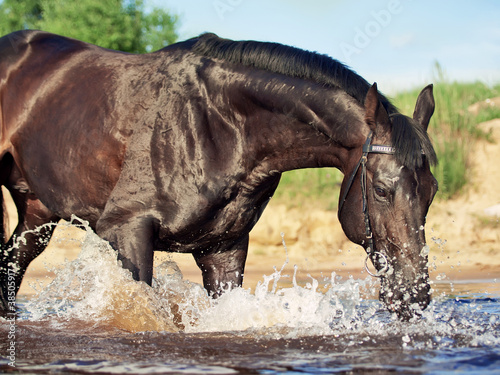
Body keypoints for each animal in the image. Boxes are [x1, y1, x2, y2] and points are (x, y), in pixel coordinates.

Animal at [0, 30, 436, 322]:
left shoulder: (224, 248)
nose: (414, 295)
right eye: (381, 190)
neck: (223, 123)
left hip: (38, 214)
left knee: (11, 263)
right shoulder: (126, 229)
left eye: (431, 192)